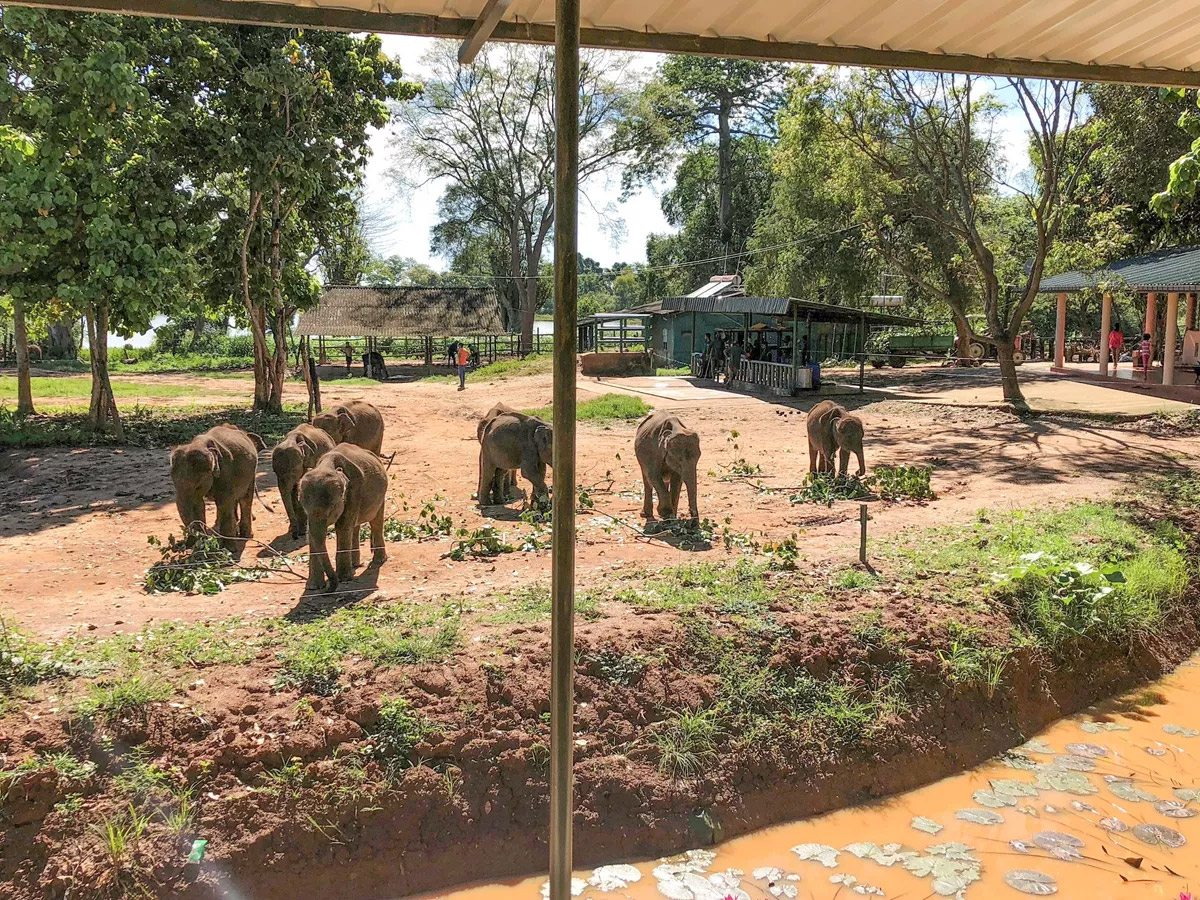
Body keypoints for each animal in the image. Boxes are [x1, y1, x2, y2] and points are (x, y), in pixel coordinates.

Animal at [299, 443, 388, 593]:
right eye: (303, 505)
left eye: (332, 506)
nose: (328, 589)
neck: (327, 466)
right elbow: (312, 535)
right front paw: (313, 587)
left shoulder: (354, 489)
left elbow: (342, 527)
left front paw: (344, 579)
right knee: (355, 526)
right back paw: (355, 565)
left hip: (381, 495)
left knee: (376, 522)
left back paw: (379, 561)